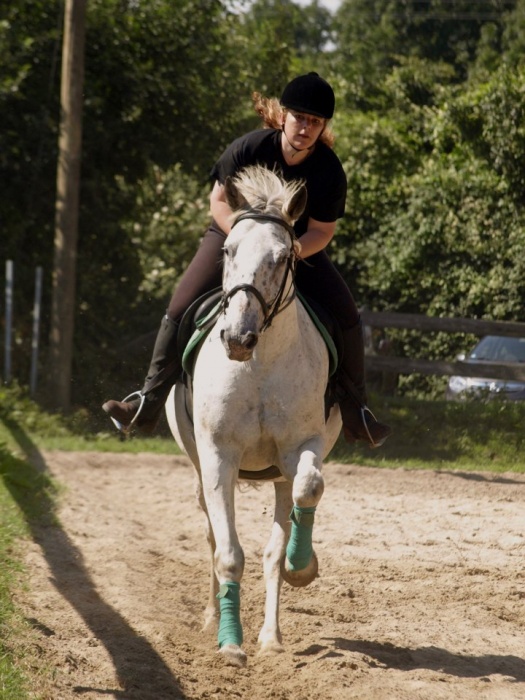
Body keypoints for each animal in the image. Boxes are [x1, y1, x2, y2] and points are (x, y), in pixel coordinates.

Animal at [166, 164, 342, 668]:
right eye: (228, 250)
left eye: (282, 258)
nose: (237, 338)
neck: (259, 365)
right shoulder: (218, 457)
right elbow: (227, 553)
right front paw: (229, 643)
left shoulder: (302, 447)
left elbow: (309, 488)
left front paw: (303, 568)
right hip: (199, 464)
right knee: (212, 536)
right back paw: (213, 621)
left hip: (279, 474)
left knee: (276, 543)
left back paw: (271, 636)